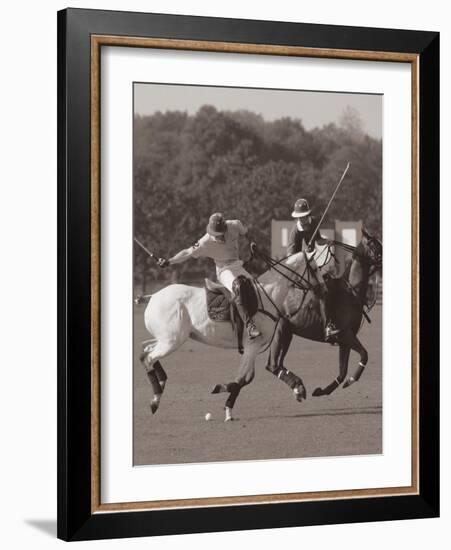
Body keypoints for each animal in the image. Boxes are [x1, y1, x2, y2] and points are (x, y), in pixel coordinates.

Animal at [266, 229, 384, 402]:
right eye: (374, 245)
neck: (351, 292)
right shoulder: (345, 334)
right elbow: (364, 355)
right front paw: (352, 380)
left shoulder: (345, 340)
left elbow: (342, 372)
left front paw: (322, 390)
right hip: (279, 330)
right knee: (273, 365)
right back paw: (298, 387)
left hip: (288, 332)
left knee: (276, 364)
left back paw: (298, 388)